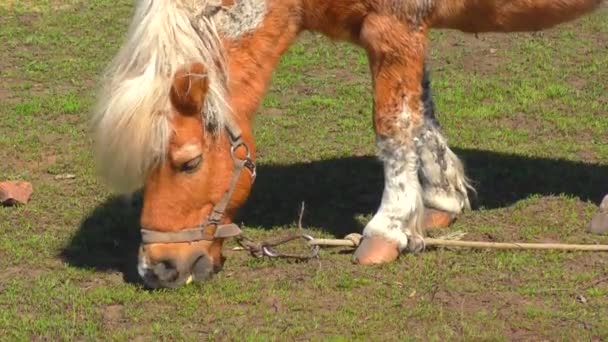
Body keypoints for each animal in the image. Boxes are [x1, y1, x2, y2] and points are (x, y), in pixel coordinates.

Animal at [91, 0, 604, 288]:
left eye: (189, 162)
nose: (158, 269)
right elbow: (422, 114)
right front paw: (441, 203)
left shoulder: (393, 29)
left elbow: (394, 126)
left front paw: (386, 231)